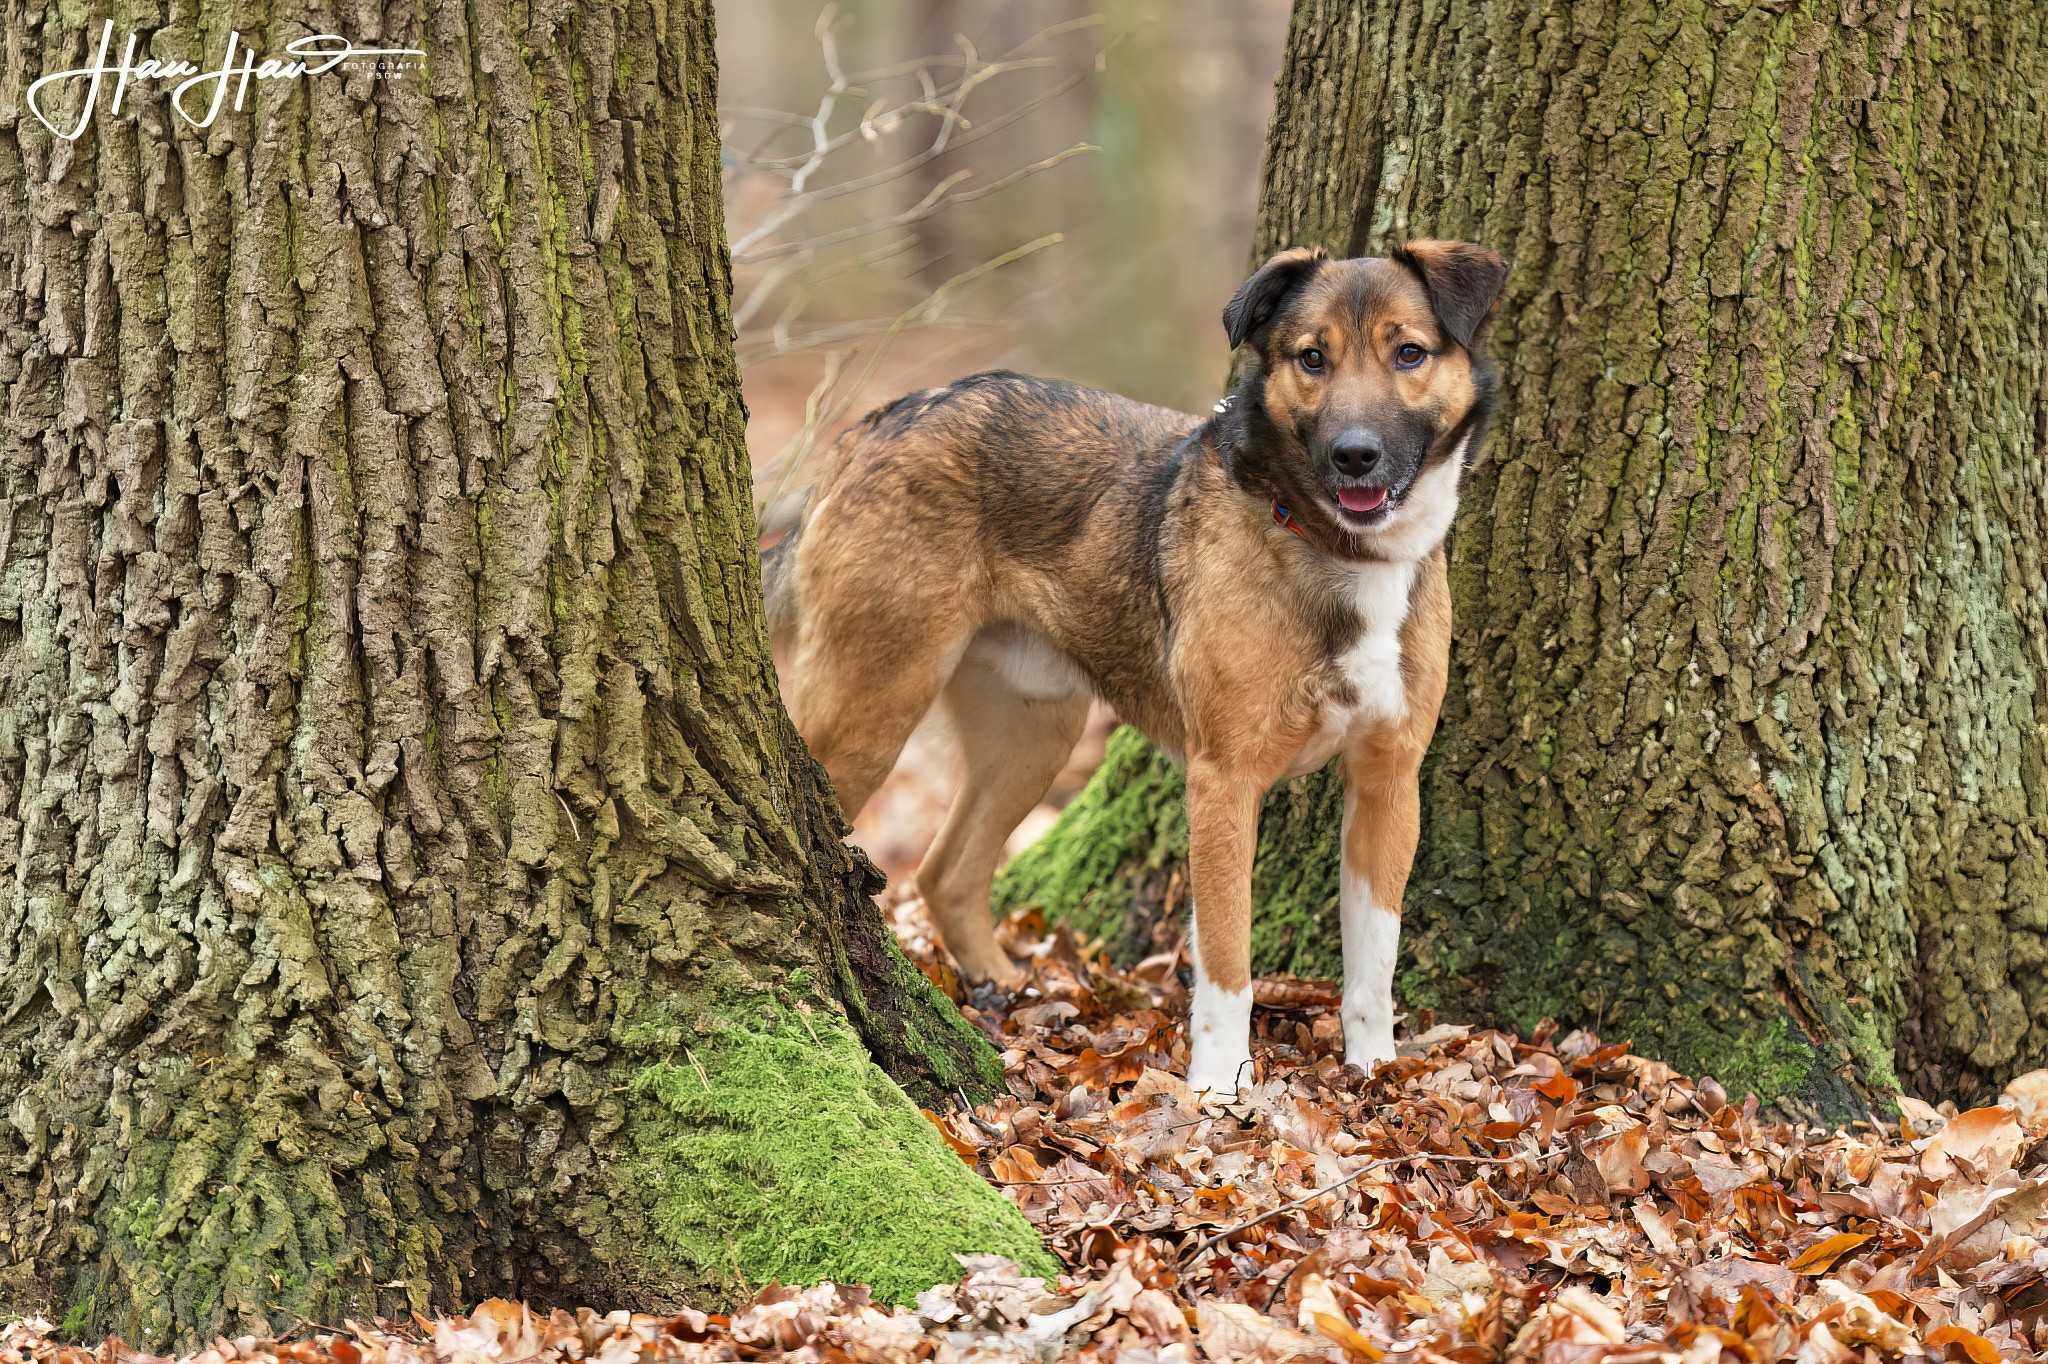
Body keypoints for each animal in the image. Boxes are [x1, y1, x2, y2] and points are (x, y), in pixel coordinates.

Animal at [765, 241, 1507, 1097]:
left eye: (1409, 353)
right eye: (1311, 358)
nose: (1354, 455)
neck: (1334, 548)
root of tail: (881, 422)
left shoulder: (1389, 782)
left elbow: (1373, 963)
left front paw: (1375, 1069)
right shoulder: (1224, 781)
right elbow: (1226, 959)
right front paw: (1219, 1088)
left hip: (1034, 736)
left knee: (946, 873)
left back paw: (1004, 996)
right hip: (868, 707)